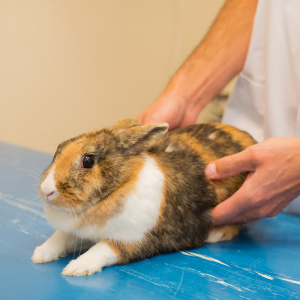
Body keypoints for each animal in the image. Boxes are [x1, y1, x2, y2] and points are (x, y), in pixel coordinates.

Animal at [31, 119, 256, 276]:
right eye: (59, 149)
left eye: (88, 160)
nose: (46, 190)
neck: (120, 185)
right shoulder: (76, 231)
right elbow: (61, 237)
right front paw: (40, 254)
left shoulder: (133, 239)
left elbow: (102, 249)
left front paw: (77, 268)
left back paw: (215, 234)